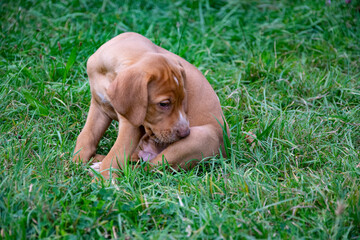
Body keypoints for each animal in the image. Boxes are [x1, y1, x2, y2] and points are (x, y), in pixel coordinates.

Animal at [73, 31, 228, 179]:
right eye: (163, 104)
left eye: (184, 100)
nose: (185, 133)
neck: (109, 73)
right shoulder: (99, 106)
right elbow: (87, 136)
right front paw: (76, 162)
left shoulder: (131, 124)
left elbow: (116, 154)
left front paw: (104, 179)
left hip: (197, 139)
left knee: (147, 168)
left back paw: (98, 167)